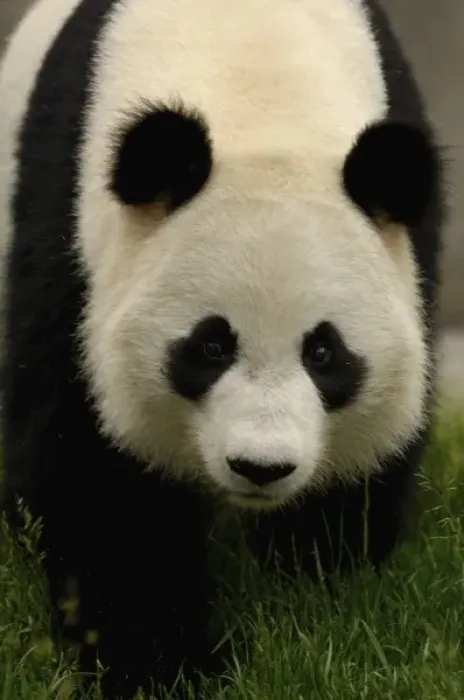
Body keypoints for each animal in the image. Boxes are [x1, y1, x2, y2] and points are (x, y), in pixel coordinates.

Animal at [0, 0, 444, 698]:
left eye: (324, 354)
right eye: (210, 346)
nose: (261, 468)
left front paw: (322, 599)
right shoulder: (70, 238)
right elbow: (96, 475)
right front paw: (162, 667)